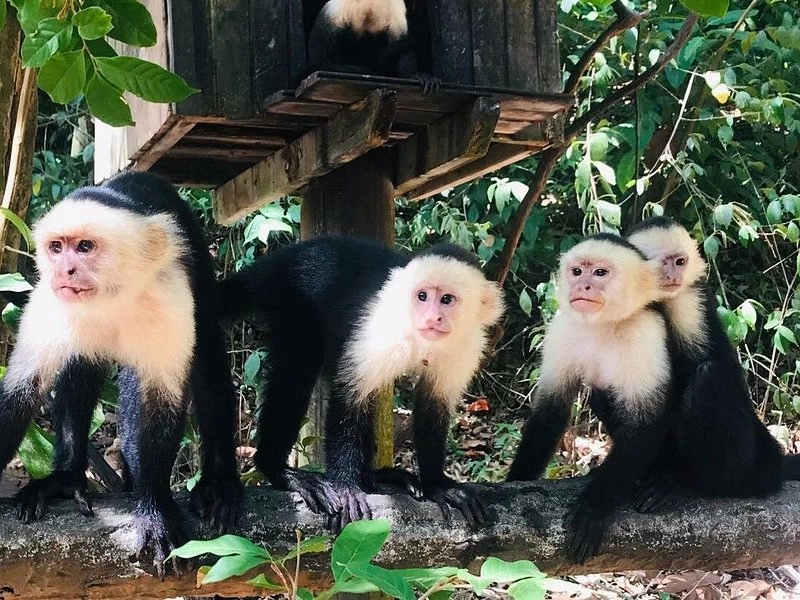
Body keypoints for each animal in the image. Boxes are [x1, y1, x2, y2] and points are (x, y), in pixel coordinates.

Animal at [0, 172, 242, 575]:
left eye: (84, 247)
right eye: (56, 248)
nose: (64, 270)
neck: (111, 297)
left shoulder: (169, 294)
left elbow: (162, 401)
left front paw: (155, 509)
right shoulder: (50, 299)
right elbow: (20, 392)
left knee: (207, 351)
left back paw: (219, 482)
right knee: (80, 368)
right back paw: (67, 476)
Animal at [219, 236, 504, 531]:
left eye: (447, 299)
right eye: (422, 296)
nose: (431, 318)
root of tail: (279, 259)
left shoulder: (467, 344)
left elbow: (433, 404)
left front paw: (439, 484)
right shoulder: (380, 327)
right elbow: (350, 394)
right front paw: (345, 487)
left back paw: (375, 476)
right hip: (289, 297)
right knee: (299, 366)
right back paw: (279, 470)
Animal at [507, 234, 676, 563]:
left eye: (599, 273)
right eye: (577, 272)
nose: (582, 286)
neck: (603, 324)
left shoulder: (645, 330)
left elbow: (646, 423)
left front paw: (594, 508)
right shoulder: (562, 328)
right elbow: (550, 412)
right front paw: (516, 481)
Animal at [625, 216, 798, 507]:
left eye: (680, 262)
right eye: (663, 264)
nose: (674, 277)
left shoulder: (687, 302)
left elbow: (699, 364)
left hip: (745, 461)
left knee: (709, 376)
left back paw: (689, 482)